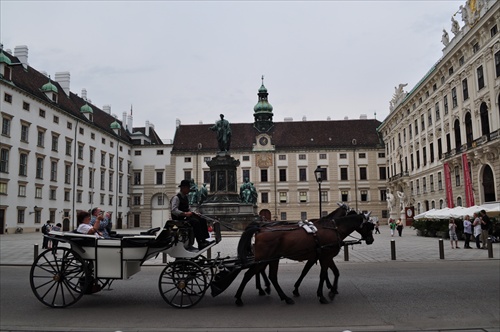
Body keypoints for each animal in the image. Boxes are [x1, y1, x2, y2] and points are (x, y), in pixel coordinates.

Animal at [236, 211, 374, 308]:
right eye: (370, 226)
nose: (371, 240)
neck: (334, 229)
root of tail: (260, 228)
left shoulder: (322, 257)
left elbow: (333, 272)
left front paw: (331, 291)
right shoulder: (325, 256)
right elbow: (323, 275)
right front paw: (323, 295)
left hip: (272, 259)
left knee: (271, 277)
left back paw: (284, 297)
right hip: (264, 259)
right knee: (249, 274)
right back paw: (240, 297)